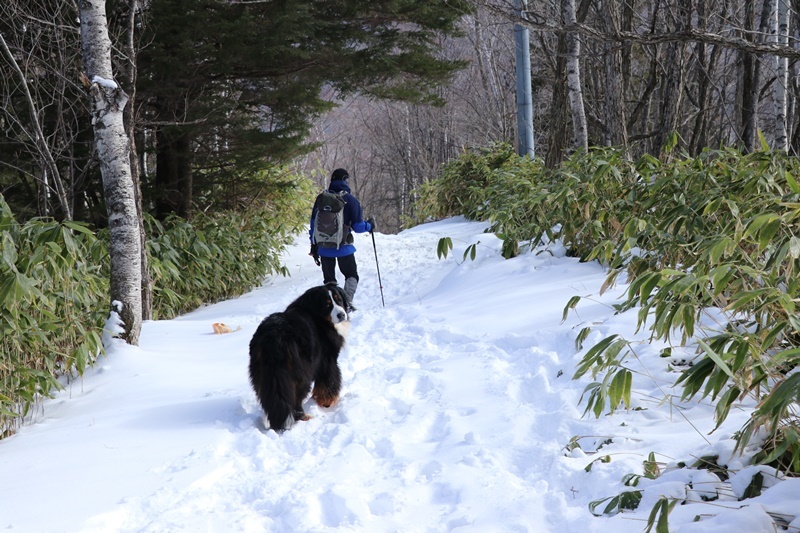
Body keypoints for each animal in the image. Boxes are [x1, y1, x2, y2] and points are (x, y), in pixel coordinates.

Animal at [248, 284, 348, 430]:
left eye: (339, 300)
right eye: (327, 305)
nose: (341, 315)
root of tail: (273, 336)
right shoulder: (328, 360)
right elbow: (329, 382)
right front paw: (327, 402)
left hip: (263, 374)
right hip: (300, 372)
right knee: (296, 398)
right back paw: (303, 417)